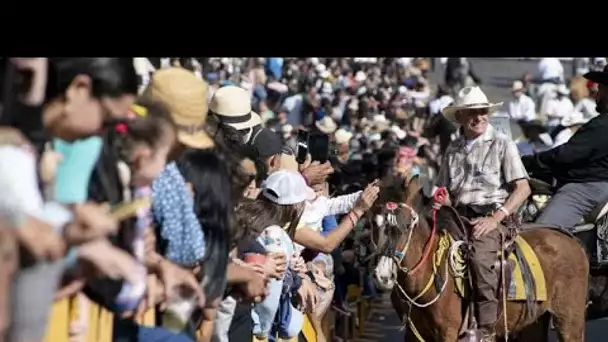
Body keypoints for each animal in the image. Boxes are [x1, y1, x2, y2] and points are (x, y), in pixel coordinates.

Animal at [368, 175, 588, 340]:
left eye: (406, 226)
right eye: (373, 224)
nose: (383, 276)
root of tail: (571, 239)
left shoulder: (448, 333)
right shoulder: (413, 335)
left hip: (569, 319)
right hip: (532, 322)